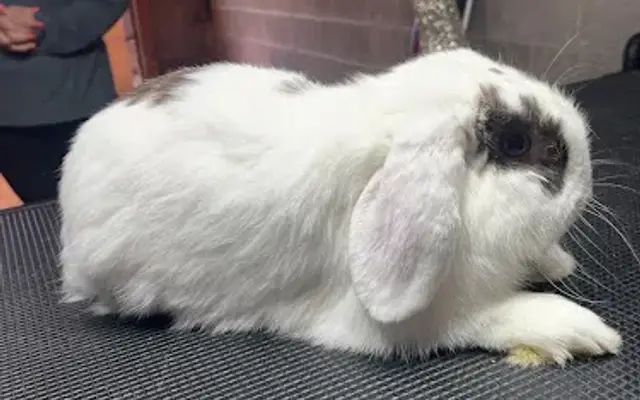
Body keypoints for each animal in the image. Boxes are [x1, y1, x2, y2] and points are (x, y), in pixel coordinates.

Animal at [58, 48, 622, 365]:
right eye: (515, 143)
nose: (588, 176)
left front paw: (557, 263)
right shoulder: (419, 323)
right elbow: (492, 317)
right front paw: (579, 330)